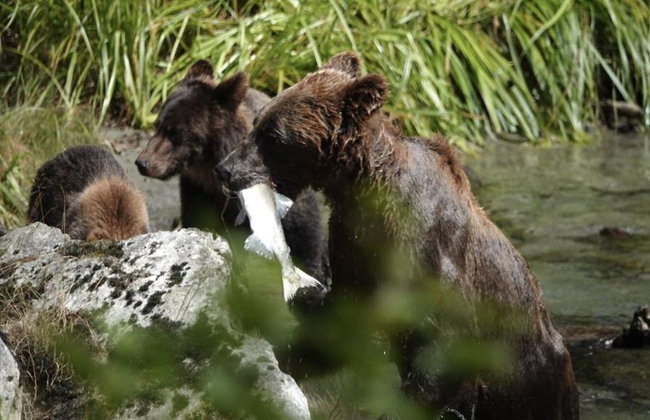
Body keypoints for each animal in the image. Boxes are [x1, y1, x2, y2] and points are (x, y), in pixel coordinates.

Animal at [215, 52, 579, 419]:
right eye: (258, 121)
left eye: (274, 135)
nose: (225, 169)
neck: (363, 189)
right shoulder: (355, 245)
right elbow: (339, 325)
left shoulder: (429, 255)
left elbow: (441, 353)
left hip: (532, 383)